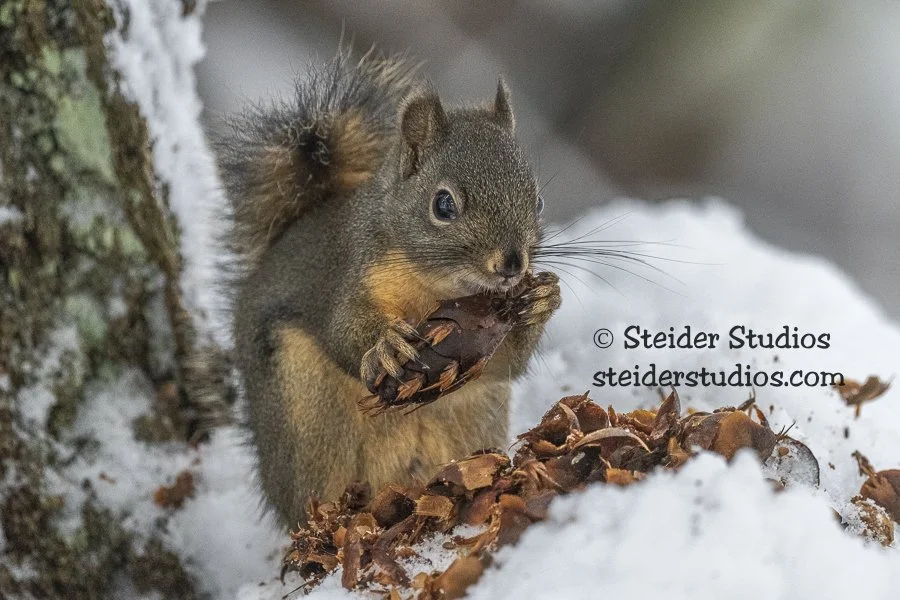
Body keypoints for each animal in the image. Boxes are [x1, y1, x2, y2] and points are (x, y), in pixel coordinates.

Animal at [215, 50, 561, 526]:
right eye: (443, 204)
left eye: (539, 201)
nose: (511, 265)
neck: (434, 286)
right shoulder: (350, 271)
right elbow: (343, 330)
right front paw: (385, 346)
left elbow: (504, 365)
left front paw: (544, 300)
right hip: (305, 412)